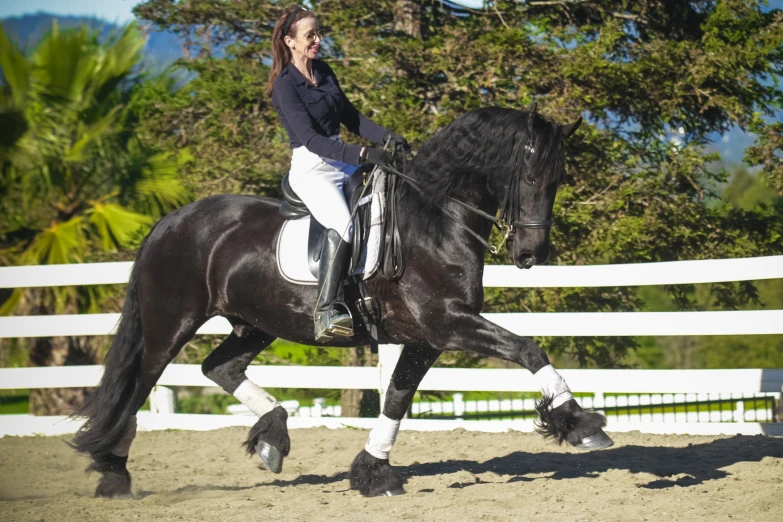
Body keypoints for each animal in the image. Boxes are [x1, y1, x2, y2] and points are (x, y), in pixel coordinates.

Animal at [73, 104, 612, 496]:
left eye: (559, 180)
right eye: (529, 176)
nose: (531, 254)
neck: (434, 220)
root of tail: (169, 221)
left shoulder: (426, 337)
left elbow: (397, 397)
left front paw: (373, 471)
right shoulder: (448, 322)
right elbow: (528, 348)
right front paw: (580, 423)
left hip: (255, 324)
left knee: (218, 368)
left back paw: (273, 437)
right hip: (171, 324)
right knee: (139, 385)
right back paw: (114, 473)